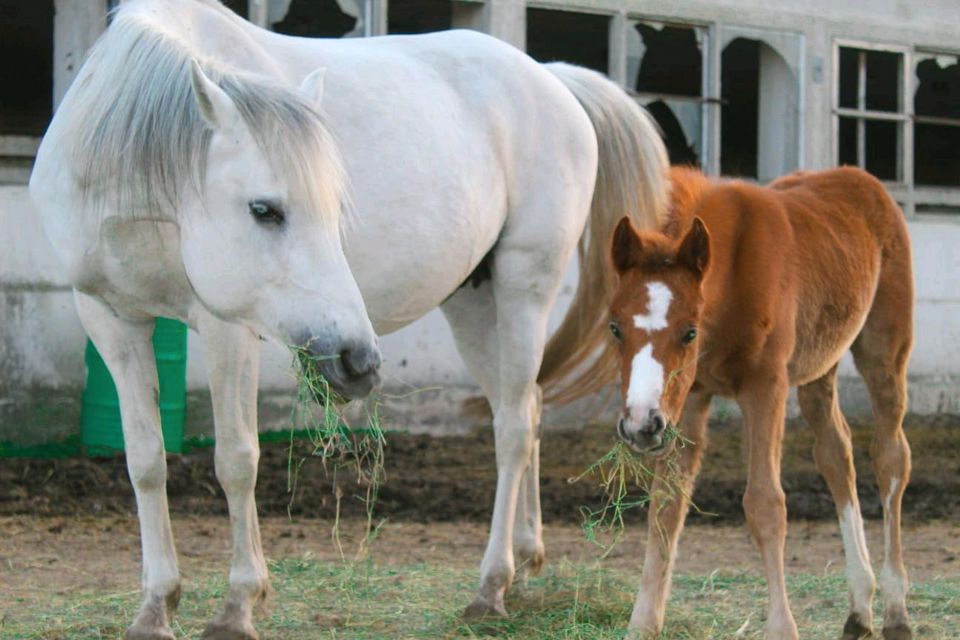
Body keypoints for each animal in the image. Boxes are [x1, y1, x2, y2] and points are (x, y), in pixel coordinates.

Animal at [30, 2, 668, 636]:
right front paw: (156, 607)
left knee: (512, 428)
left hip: (523, 290)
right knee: (528, 408)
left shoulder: (224, 328)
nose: (358, 360)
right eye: (264, 209)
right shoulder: (112, 320)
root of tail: (551, 78)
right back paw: (528, 558)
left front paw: (239, 605)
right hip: (472, 303)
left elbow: (236, 459)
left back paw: (492, 587)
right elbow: (145, 461)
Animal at [608, 166, 916, 640]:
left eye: (689, 331)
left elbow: (766, 504)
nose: (641, 423)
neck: (733, 272)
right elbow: (667, 503)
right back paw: (859, 608)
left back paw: (896, 610)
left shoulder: (766, 384)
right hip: (819, 365)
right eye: (615, 328)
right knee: (836, 452)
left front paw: (782, 627)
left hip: (884, 349)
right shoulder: (690, 396)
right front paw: (642, 624)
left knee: (890, 456)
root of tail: (861, 179)